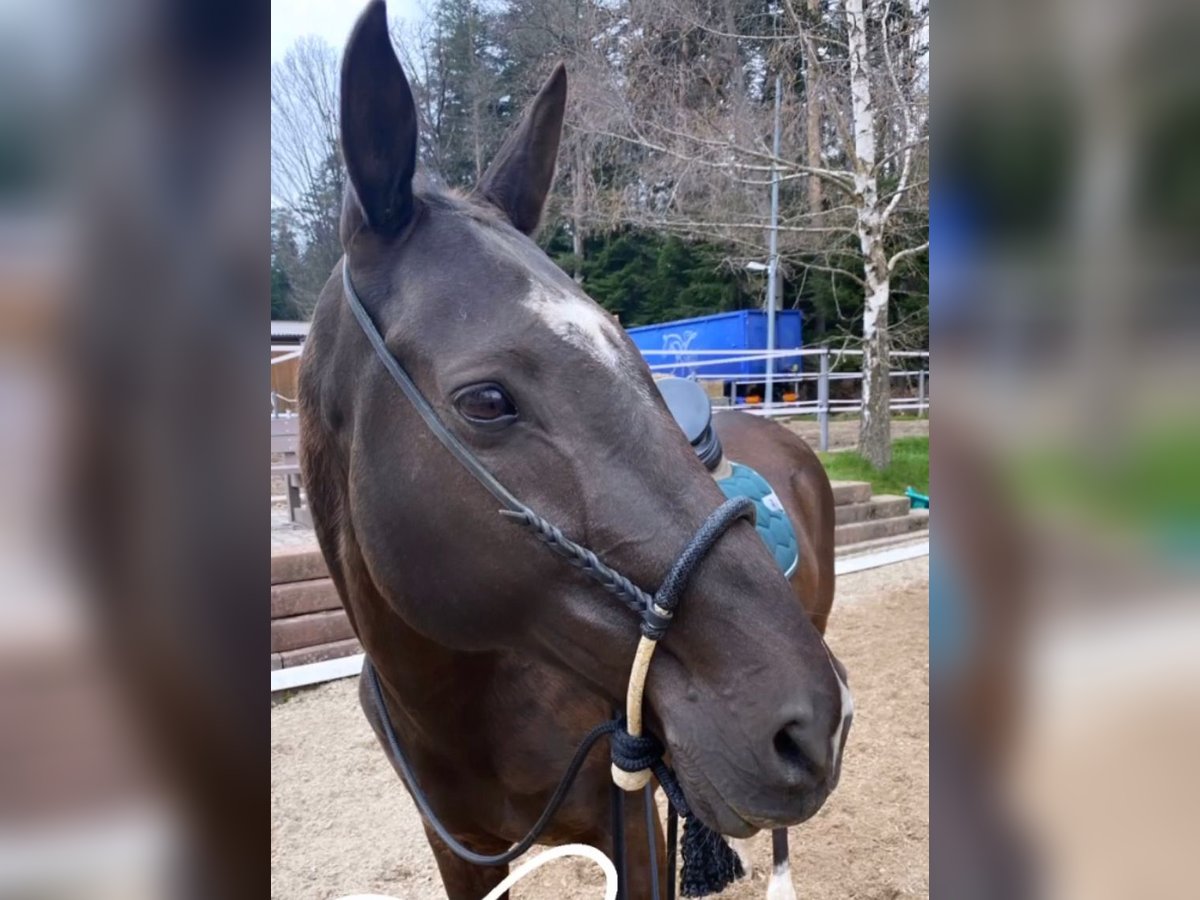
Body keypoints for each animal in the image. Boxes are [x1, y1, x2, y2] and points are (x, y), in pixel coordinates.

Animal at [300, 3, 849, 897]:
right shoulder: (458, 849)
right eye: (486, 401)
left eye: (633, 352)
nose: (809, 720)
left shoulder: (634, 830)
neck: (458, 714)